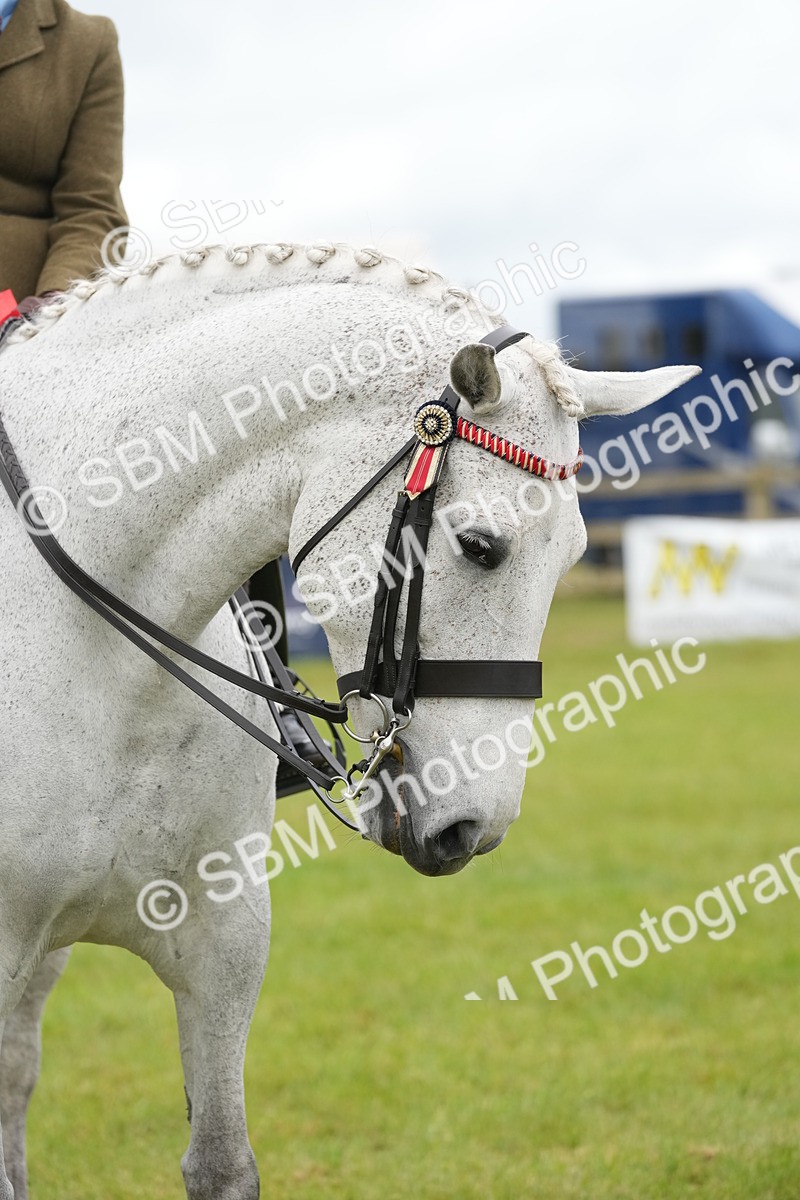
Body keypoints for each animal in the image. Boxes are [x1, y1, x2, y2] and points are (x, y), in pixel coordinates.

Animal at [0, 241, 698, 1199]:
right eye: (480, 546)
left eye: (576, 557)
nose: (474, 827)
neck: (102, 664)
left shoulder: (223, 938)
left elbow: (223, 1164)